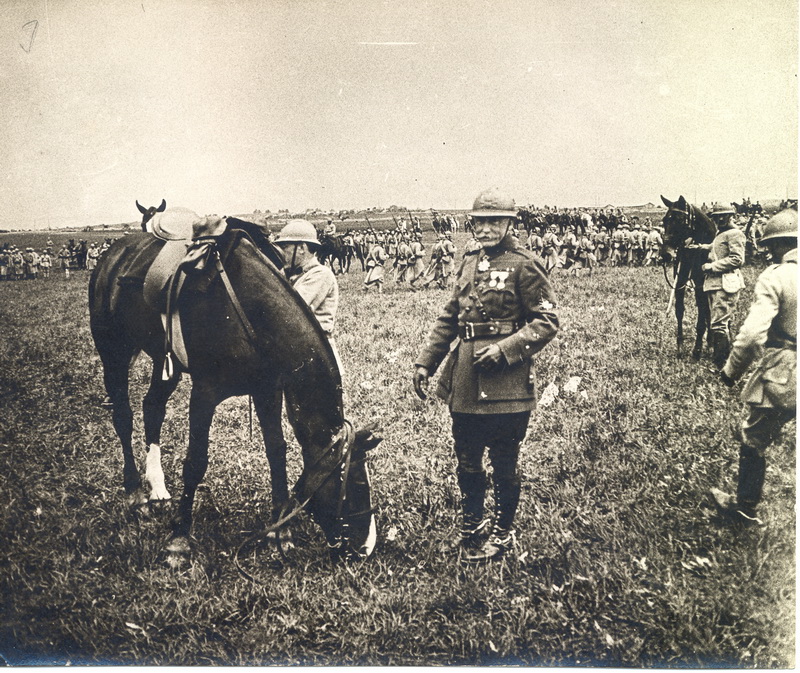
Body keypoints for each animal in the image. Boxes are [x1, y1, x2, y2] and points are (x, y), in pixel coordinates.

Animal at [89, 217, 382, 560]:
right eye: (357, 485)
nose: (366, 547)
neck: (249, 310)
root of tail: (114, 254)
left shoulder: (268, 390)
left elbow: (276, 451)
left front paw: (280, 532)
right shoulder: (205, 392)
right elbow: (196, 461)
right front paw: (179, 538)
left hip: (164, 362)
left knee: (152, 408)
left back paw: (157, 488)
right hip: (114, 353)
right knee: (123, 416)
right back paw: (135, 493)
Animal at [660, 196, 716, 356]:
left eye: (679, 220)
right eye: (664, 220)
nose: (665, 254)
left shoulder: (701, 283)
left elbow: (703, 313)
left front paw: (697, 348)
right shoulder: (680, 279)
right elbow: (679, 310)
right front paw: (680, 345)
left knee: (708, 310)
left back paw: (710, 342)